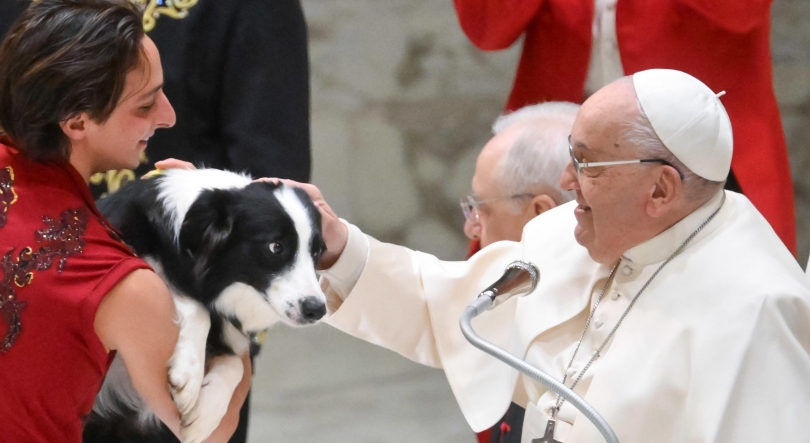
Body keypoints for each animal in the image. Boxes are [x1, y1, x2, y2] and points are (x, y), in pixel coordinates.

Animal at [80, 169, 324, 443]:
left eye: (317, 252)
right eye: (276, 247)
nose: (317, 309)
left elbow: (237, 364)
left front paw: (205, 415)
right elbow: (196, 307)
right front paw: (188, 373)